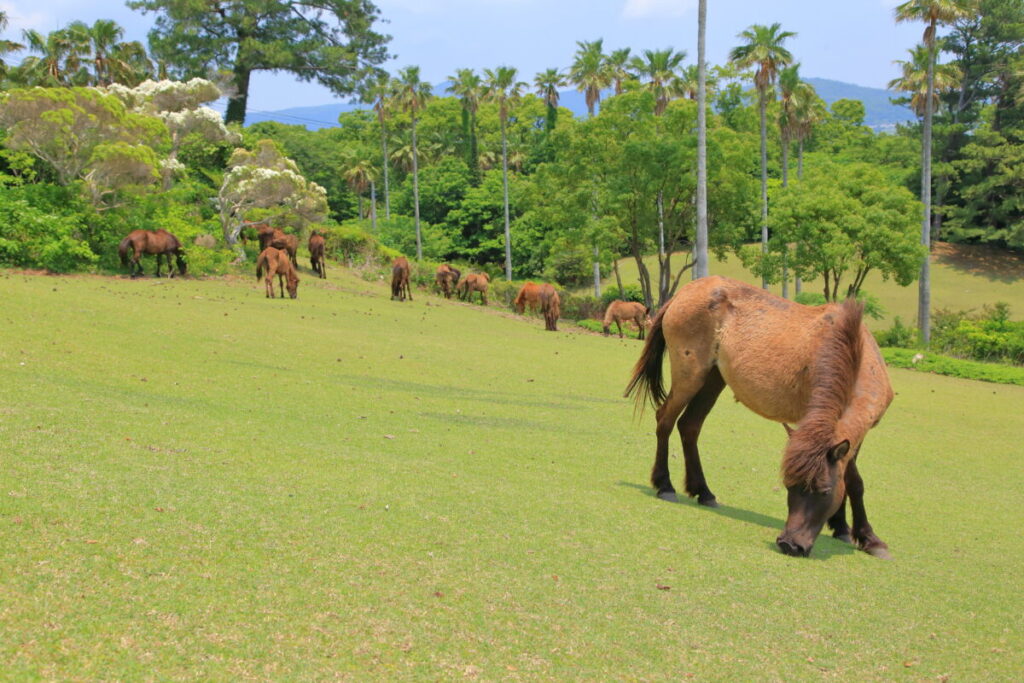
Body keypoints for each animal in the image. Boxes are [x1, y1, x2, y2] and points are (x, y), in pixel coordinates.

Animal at [624, 276, 893, 559]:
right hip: (690, 376)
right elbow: (853, 479)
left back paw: (704, 492)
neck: (854, 352)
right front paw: (867, 537)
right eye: (789, 486)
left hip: (713, 379)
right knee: (665, 420)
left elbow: (850, 478)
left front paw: (845, 528)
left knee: (689, 426)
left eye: (824, 491)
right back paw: (665, 486)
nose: (790, 544)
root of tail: (687, 290)